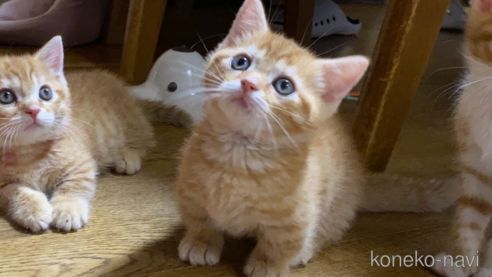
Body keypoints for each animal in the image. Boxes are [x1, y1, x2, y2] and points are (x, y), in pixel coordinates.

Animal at [0, 35, 156, 232]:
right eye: (6, 96)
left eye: (45, 92)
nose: (33, 110)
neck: (29, 154)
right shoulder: (2, 185)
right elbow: (15, 191)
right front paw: (32, 210)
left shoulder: (82, 163)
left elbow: (75, 185)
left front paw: (68, 210)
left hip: (129, 121)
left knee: (145, 138)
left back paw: (128, 156)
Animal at [176, 0, 458, 276]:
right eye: (241, 62)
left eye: (284, 86)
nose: (248, 83)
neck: (238, 156)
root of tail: (361, 180)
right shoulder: (189, 191)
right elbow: (199, 219)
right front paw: (201, 242)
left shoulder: (297, 218)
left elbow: (280, 244)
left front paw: (268, 265)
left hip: (336, 208)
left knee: (328, 229)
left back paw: (305, 251)